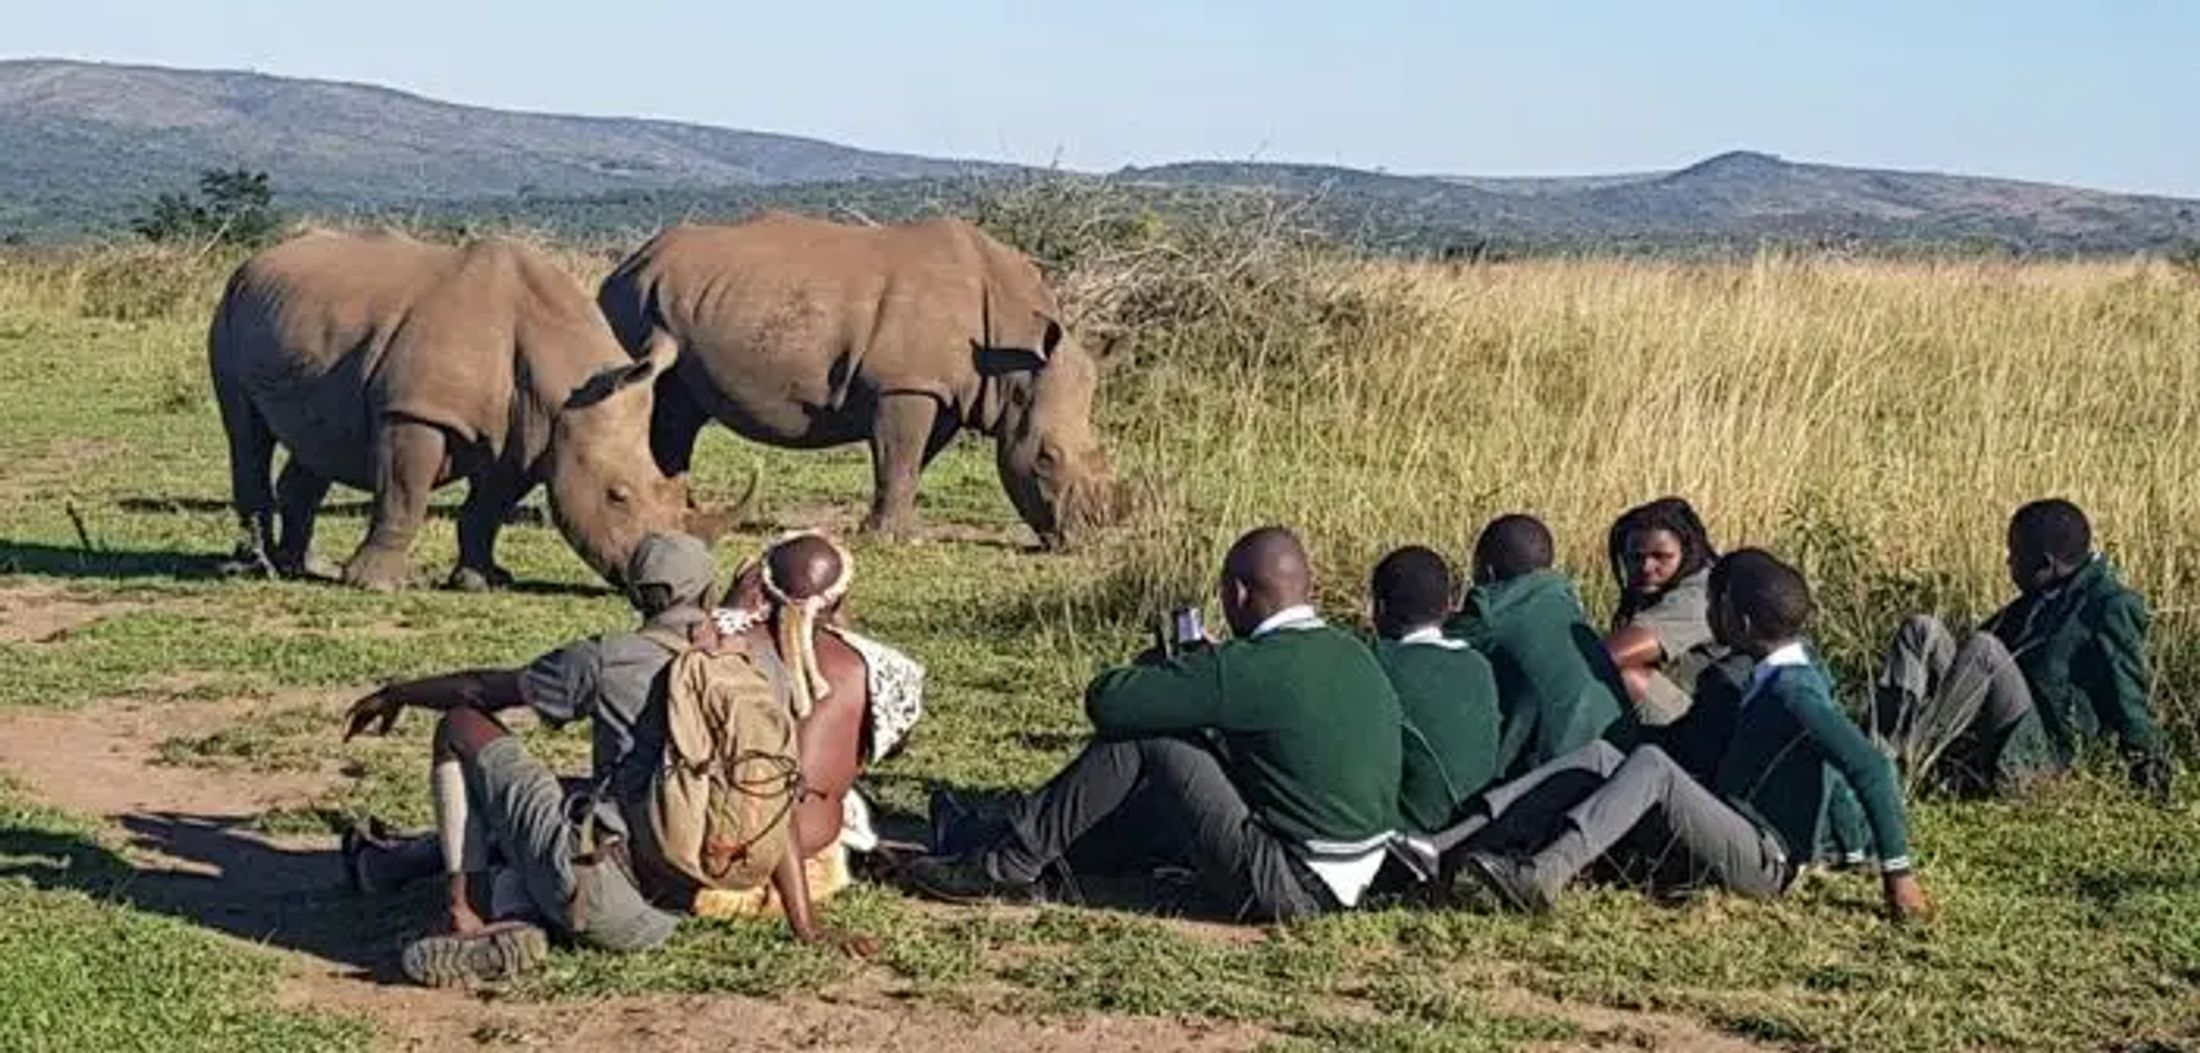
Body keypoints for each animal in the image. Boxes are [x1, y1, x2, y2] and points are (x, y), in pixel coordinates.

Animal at [209, 230, 740, 591]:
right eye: (617, 496)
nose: (676, 584)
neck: (565, 380)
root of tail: (257, 259)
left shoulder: (533, 435)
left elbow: (488, 508)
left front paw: (483, 580)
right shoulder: (416, 412)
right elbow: (403, 495)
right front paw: (376, 585)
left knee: (319, 439)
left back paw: (304, 567)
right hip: (229, 308)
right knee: (246, 433)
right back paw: (258, 567)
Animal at [596, 214, 1125, 548]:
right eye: (1046, 458)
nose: (1087, 539)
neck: (1010, 357)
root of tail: (626, 264)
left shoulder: (944, 393)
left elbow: (912, 463)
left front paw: (897, 531)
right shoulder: (906, 385)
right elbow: (898, 459)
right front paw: (886, 538)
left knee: (678, 409)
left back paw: (684, 506)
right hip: (630, 304)